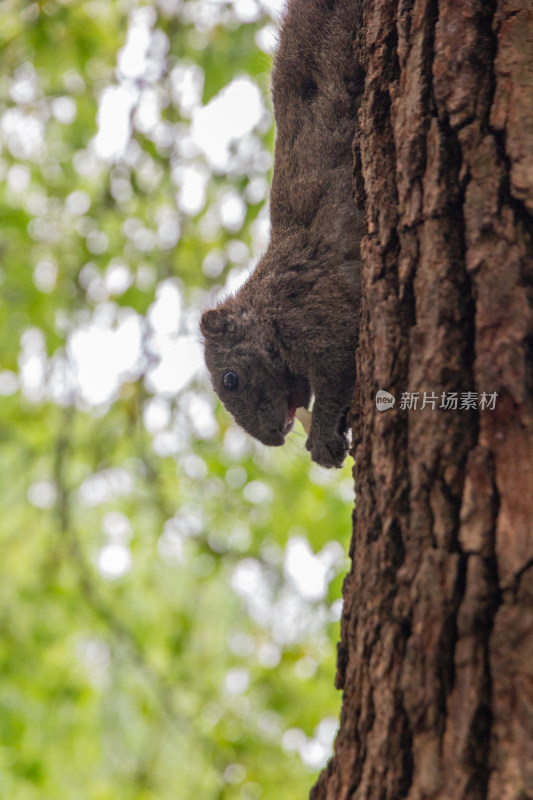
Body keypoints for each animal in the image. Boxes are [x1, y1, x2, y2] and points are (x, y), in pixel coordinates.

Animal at [202, 0, 364, 468]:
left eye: (230, 379)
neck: (267, 308)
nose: (273, 438)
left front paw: (324, 439)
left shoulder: (313, 311)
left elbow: (338, 368)